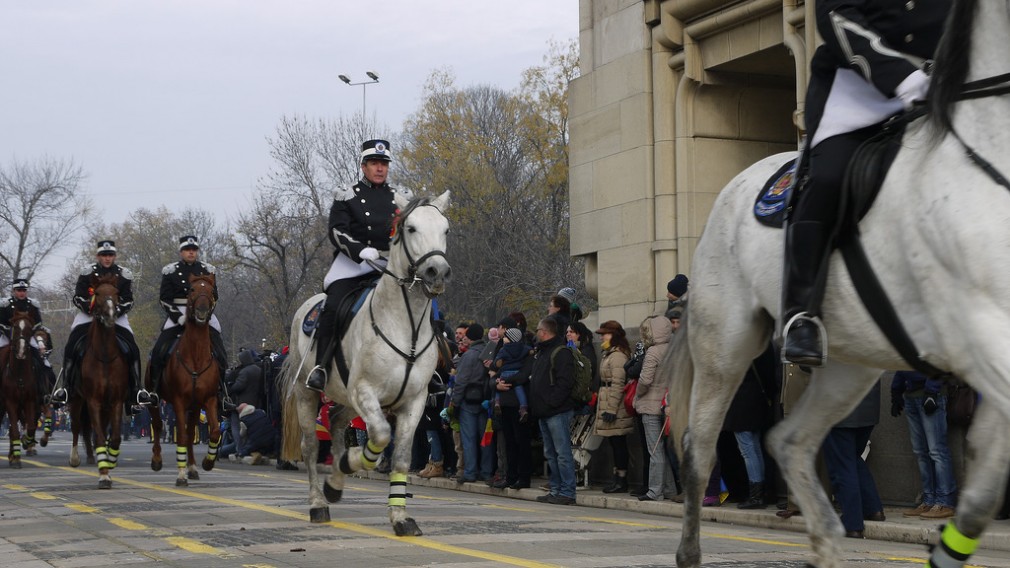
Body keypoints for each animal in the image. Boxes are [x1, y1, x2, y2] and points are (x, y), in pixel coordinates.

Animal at [0, 309, 41, 464]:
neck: (20, 373)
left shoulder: (29, 401)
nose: (21, 352)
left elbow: (30, 428)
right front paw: (16, 458)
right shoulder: (10, 402)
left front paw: (25, 443)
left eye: (30, 328)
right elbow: (15, 431)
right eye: (16, 327)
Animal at [70, 274, 128, 487]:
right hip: (76, 399)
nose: (110, 316)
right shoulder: (93, 401)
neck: (104, 357)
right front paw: (103, 475)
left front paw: (110, 463)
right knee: (77, 427)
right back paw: (75, 458)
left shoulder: (116, 401)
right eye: (97, 293)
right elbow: (101, 437)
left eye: (116, 293)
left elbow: (115, 437)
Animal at [147, 272, 223, 485]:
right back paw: (157, 460)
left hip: (195, 406)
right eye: (192, 289)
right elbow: (180, 434)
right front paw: (180, 475)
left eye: (211, 290)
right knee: (157, 425)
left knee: (190, 433)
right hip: (154, 400)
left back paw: (193, 467)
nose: (202, 311)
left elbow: (214, 431)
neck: (196, 356)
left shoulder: (209, 399)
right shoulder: (179, 401)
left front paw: (207, 462)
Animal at [278, 191, 448, 533]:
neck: (405, 325)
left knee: (336, 422)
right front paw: (352, 463)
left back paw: (335, 484)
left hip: (344, 398)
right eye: (411, 228)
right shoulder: (366, 392)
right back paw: (319, 502)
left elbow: (400, 456)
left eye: (446, 229)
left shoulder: (414, 401)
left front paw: (400, 517)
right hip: (308, 393)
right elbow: (381, 436)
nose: (437, 271)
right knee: (310, 446)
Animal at [666, 2, 1010, 561]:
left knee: (787, 442)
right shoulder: (979, 333)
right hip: (725, 343)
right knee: (700, 449)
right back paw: (690, 552)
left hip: (852, 363)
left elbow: (980, 496)